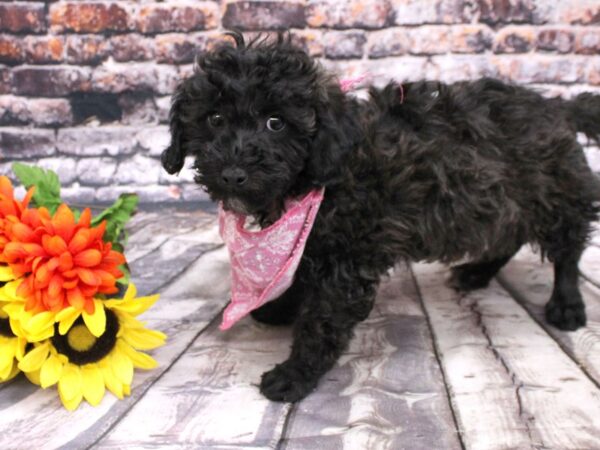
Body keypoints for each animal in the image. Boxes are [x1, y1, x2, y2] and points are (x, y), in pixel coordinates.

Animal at [162, 33, 600, 402]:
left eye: (276, 122)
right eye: (214, 119)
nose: (233, 173)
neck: (313, 180)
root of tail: (557, 106)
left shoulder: (345, 260)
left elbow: (321, 319)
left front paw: (296, 373)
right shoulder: (312, 243)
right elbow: (297, 273)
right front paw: (280, 308)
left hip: (555, 194)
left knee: (567, 251)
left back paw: (566, 305)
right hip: (501, 199)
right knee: (508, 235)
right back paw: (477, 272)